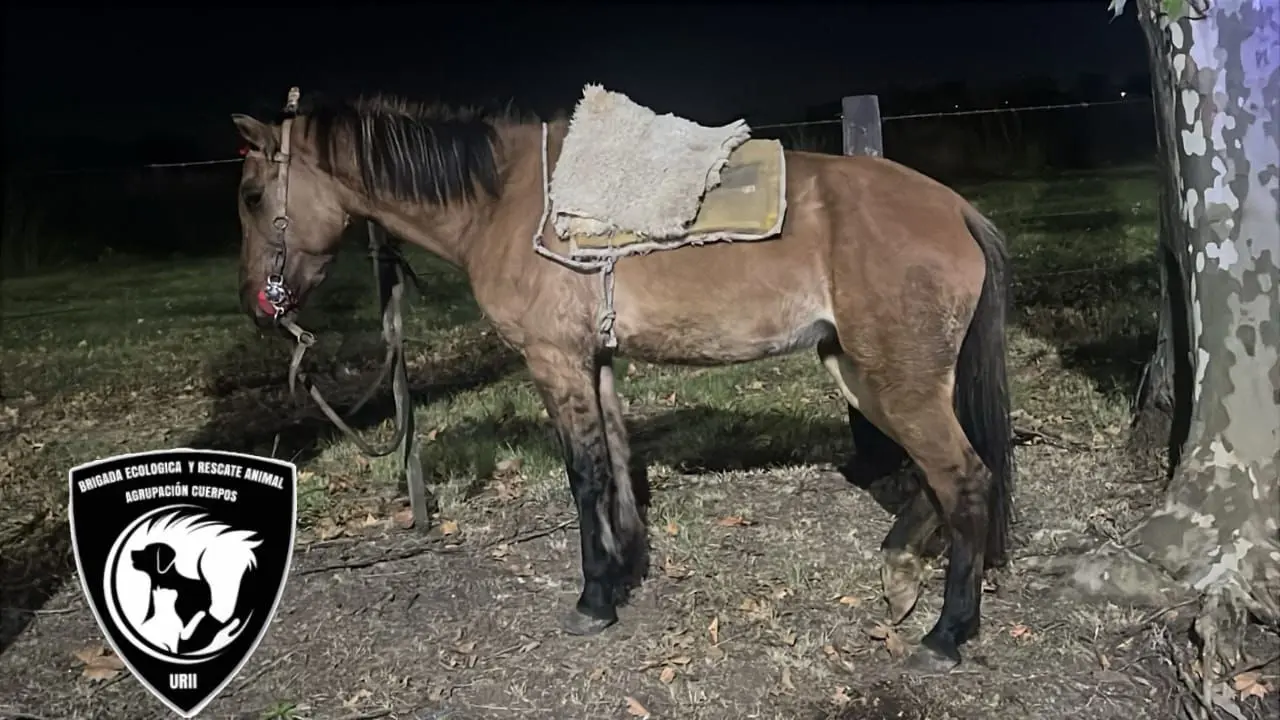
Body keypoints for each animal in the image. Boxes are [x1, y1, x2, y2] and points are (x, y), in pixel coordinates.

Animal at [230, 92, 1015, 672]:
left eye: (251, 195)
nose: (259, 305)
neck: (502, 202)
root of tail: (955, 209)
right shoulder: (596, 362)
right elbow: (614, 462)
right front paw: (625, 568)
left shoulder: (554, 360)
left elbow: (584, 476)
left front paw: (594, 598)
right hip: (862, 373)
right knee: (939, 479)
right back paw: (902, 572)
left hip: (897, 381)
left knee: (965, 478)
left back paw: (947, 634)